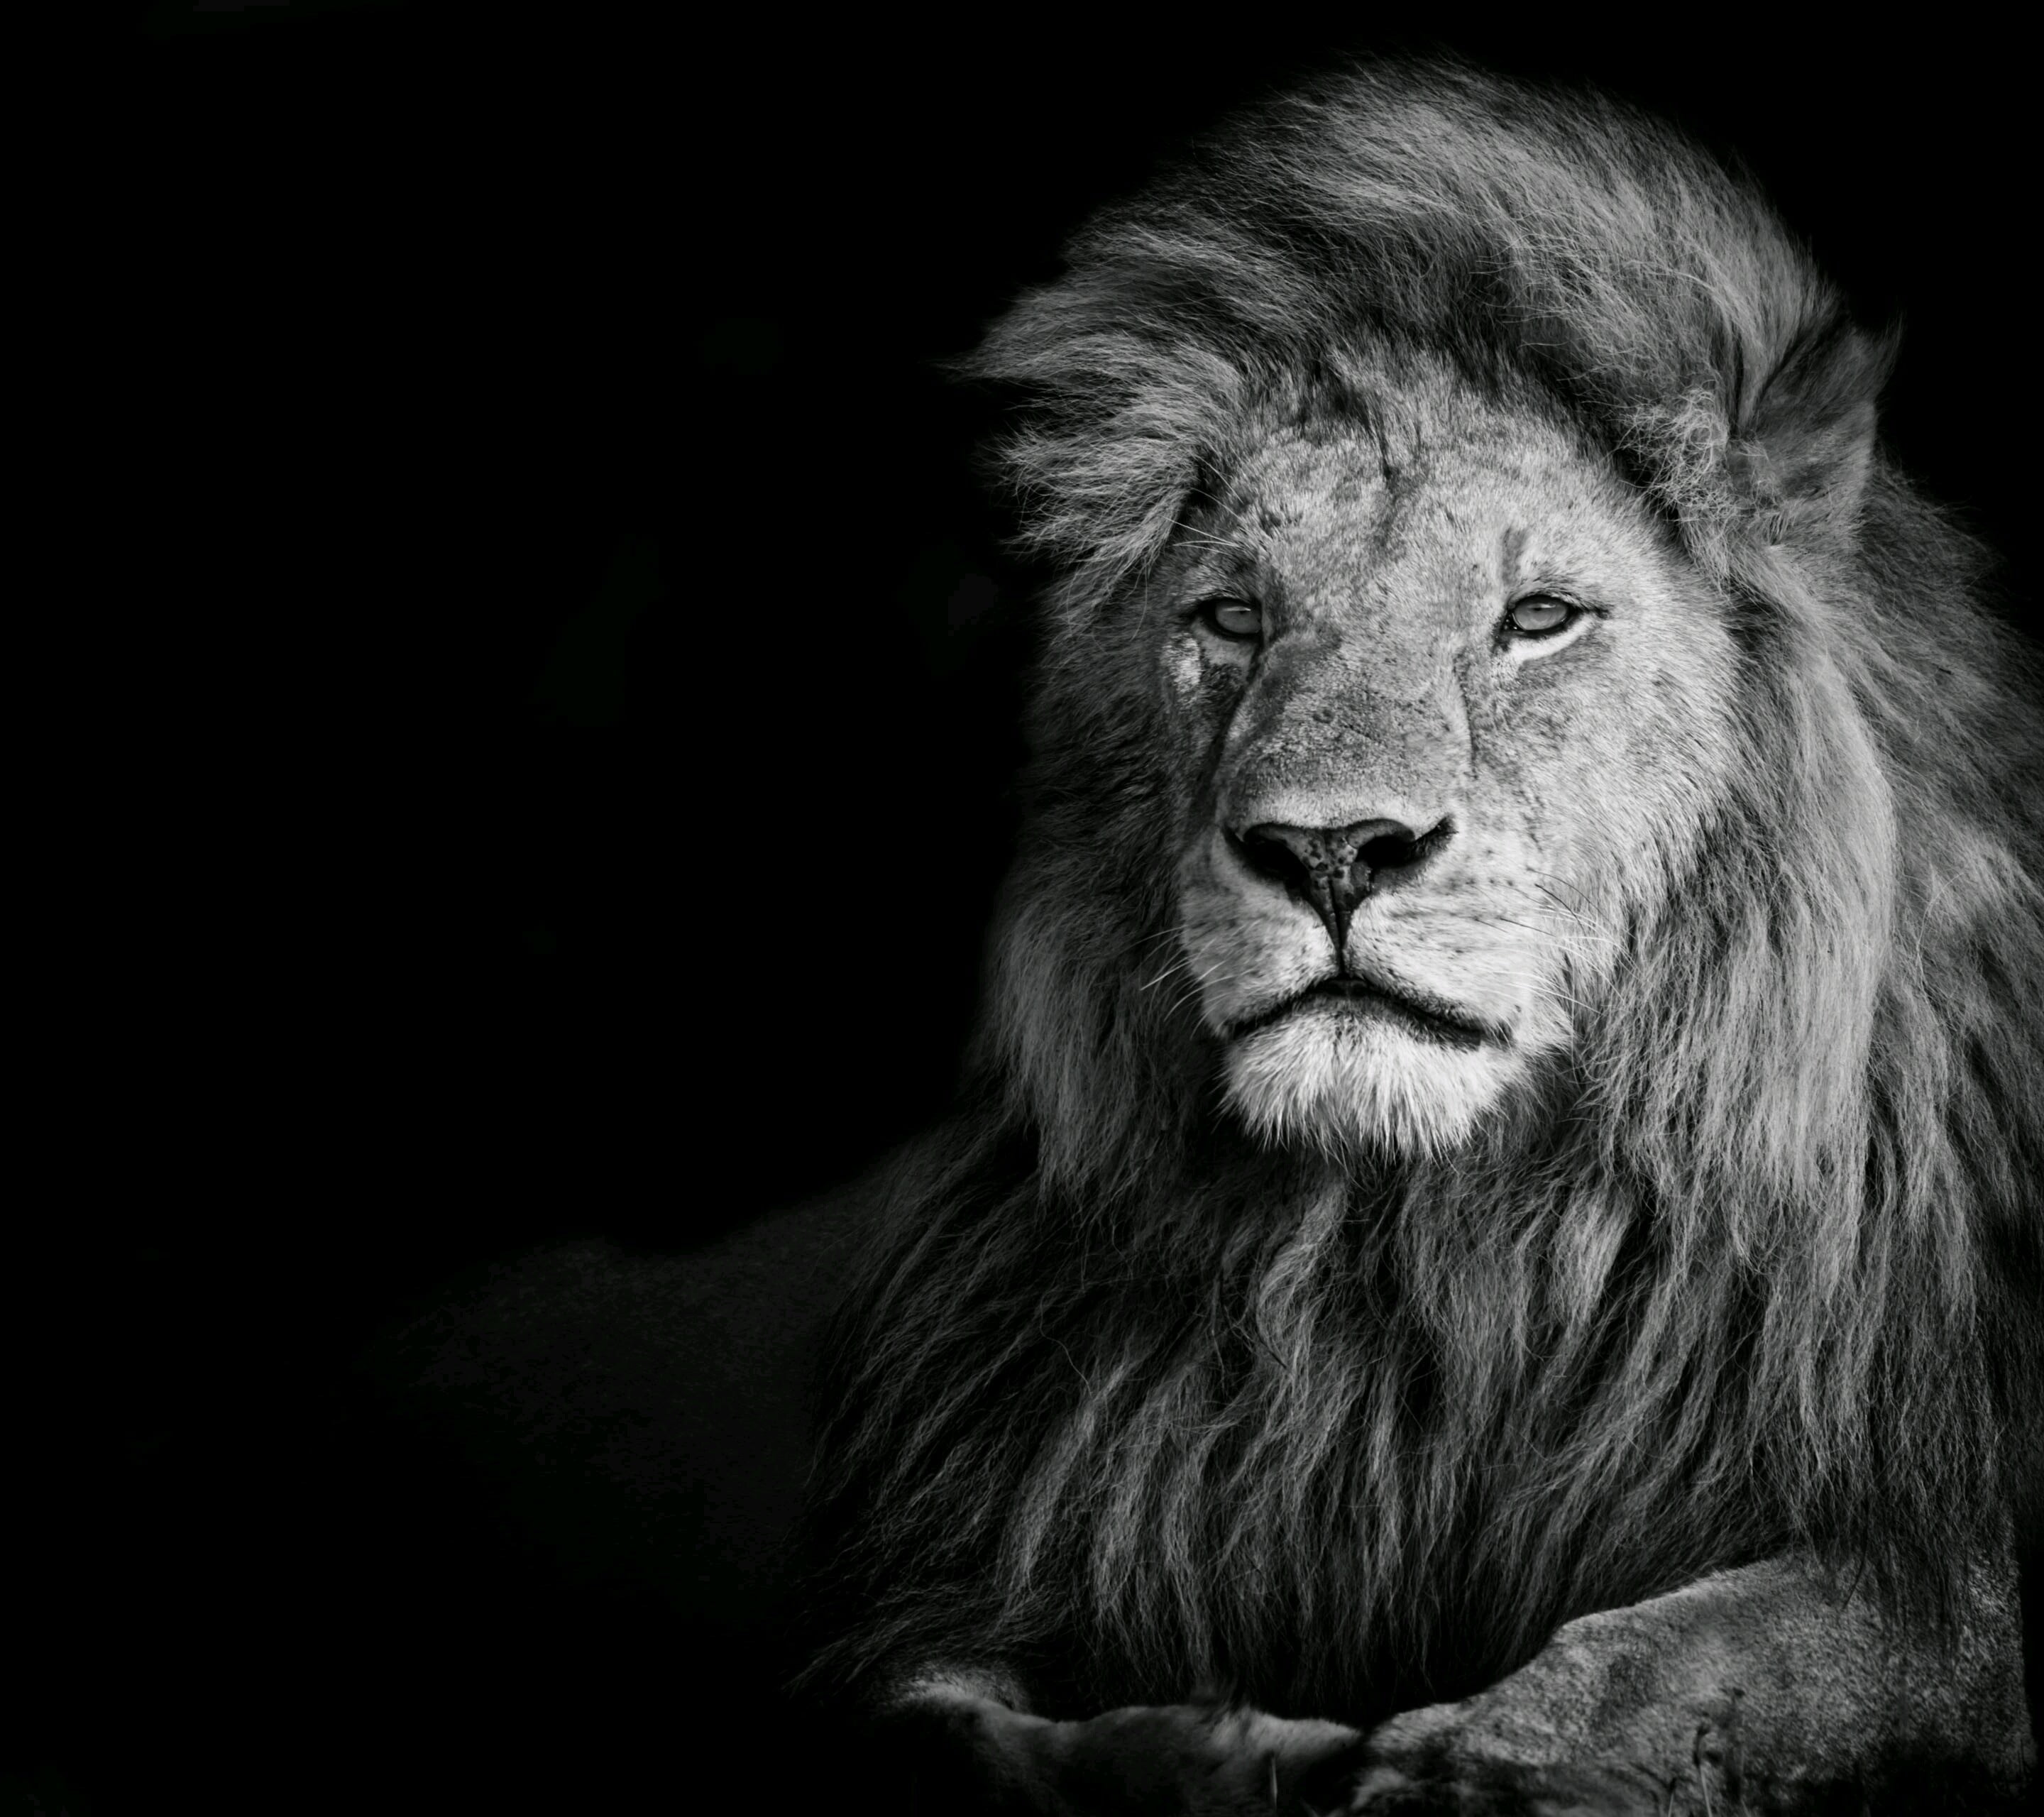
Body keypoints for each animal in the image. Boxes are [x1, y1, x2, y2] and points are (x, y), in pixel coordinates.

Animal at [402, 53, 2044, 1799]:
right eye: (1235, 619)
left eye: (1538, 618)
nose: (1330, 849)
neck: (1419, 1271)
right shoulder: (965, 1558)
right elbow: (940, 1724)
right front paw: (1216, 1748)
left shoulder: (1928, 1557)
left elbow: (1740, 1642)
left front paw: (1474, 1761)